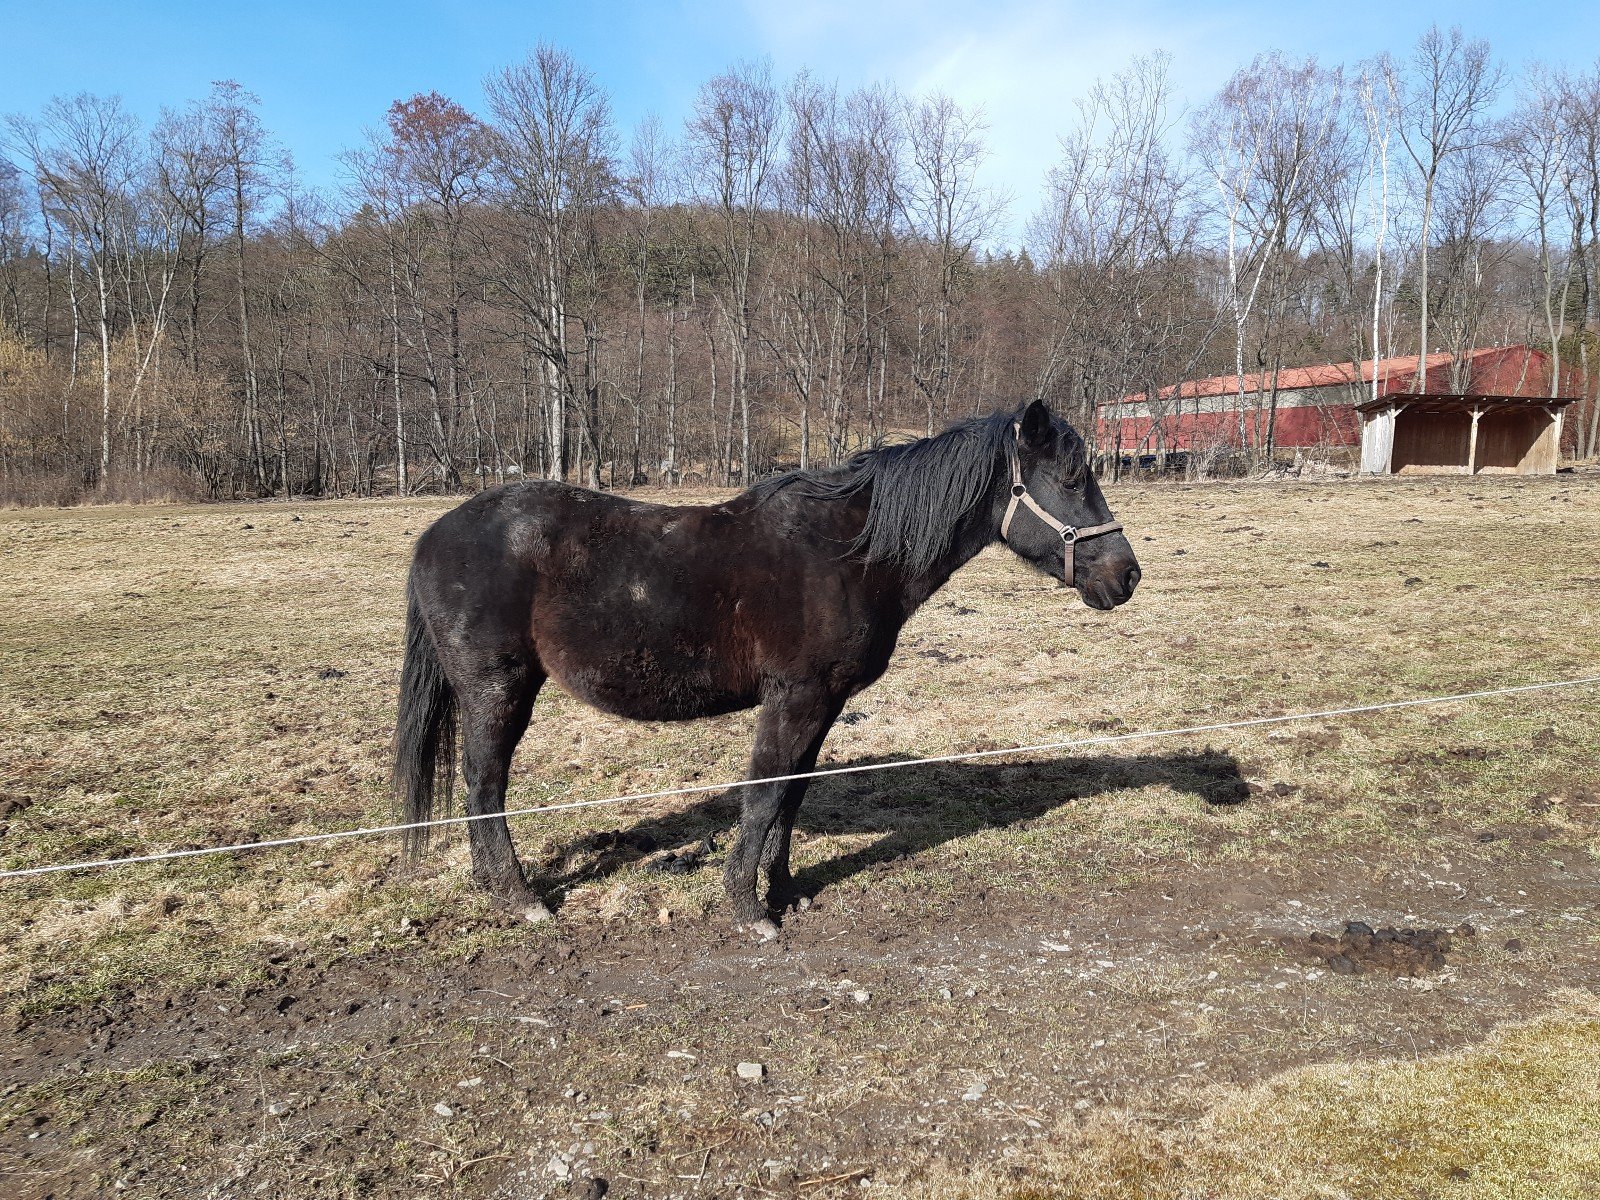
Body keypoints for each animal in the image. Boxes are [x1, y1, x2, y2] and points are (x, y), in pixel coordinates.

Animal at [393, 400, 1141, 938]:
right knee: (485, 787)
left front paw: (785, 892)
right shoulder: (794, 698)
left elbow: (791, 795)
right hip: (498, 688)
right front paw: (749, 910)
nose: (1126, 576)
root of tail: (434, 535)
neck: (849, 551)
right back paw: (520, 899)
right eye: (1071, 479)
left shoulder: (824, 702)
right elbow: (762, 795)